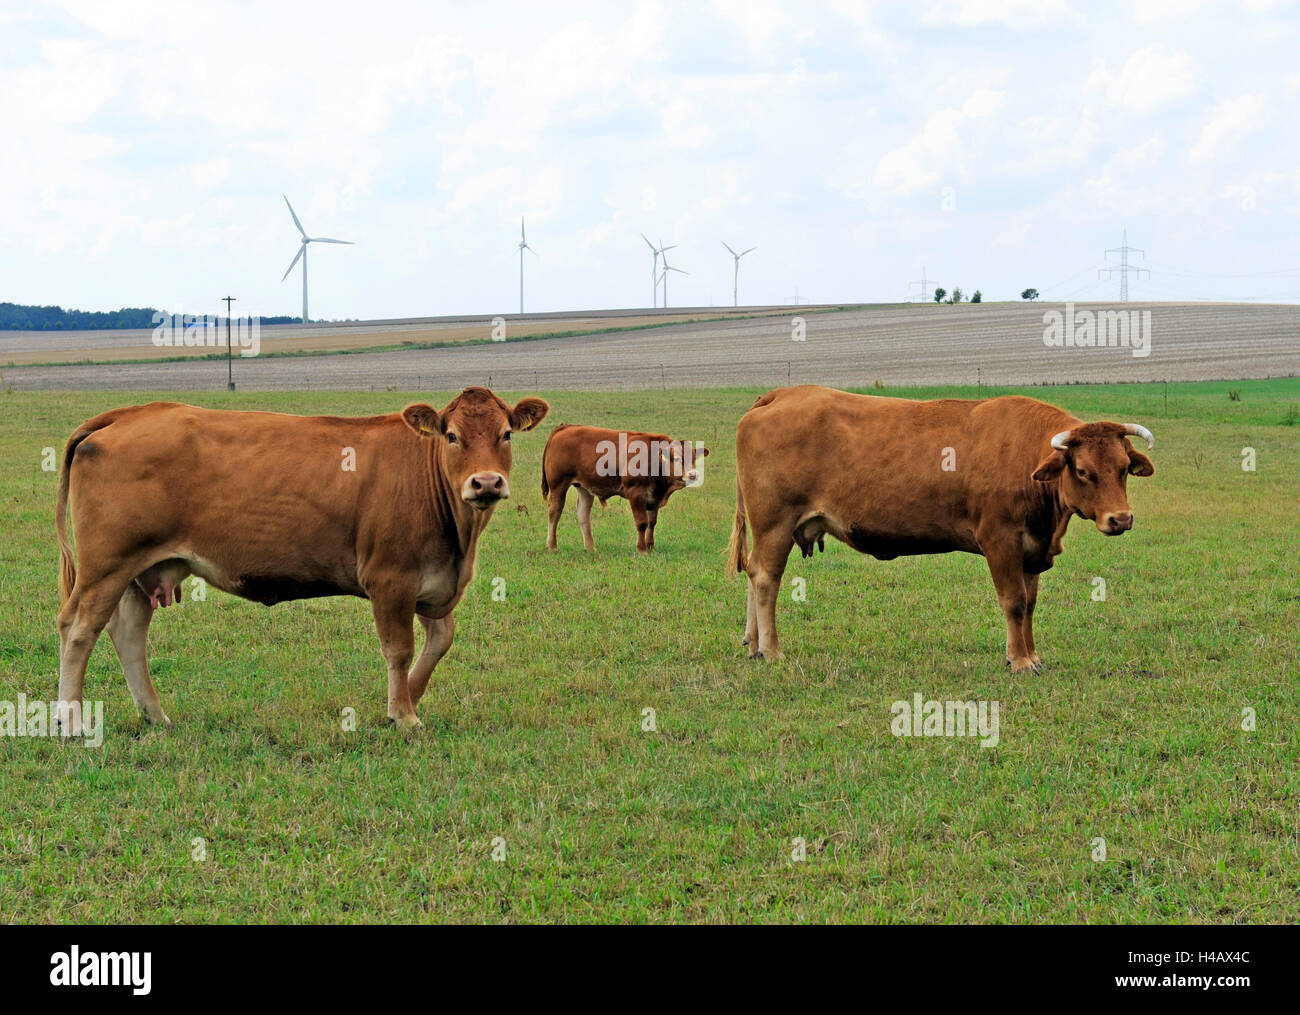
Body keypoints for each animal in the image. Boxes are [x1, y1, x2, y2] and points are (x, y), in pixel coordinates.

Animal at [55, 384, 548, 732]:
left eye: (505, 434)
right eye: (451, 436)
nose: (486, 483)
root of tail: (130, 413)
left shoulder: (432, 580)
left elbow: (440, 641)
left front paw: (404, 699)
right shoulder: (392, 578)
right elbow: (400, 648)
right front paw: (404, 715)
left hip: (139, 571)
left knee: (128, 633)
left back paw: (154, 715)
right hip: (106, 567)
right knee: (78, 629)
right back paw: (72, 719)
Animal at [543, 423, 717, 551]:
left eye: (694, 459)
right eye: (676, 458)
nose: (693, 475)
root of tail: (566, 427)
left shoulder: (654, 496)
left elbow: (652, 523)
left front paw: (651, 546)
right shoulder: (636, 494)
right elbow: (641, 523)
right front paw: (642, 549)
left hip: (584, 487)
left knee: (583, 514)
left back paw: (591, 547)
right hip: (558, 484)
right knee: (554, 511)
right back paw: (552, 546)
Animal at [722, 384, 1159, 670]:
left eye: (1124, 468)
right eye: (1083, 471)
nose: (1121, 519)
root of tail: (784, 393)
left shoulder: (1032, 549)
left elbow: (1030, 604)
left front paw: (1031, 654)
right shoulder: (1000, 540)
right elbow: (1014, 602)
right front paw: (1019, 661)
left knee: (753, 573)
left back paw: (753, 644)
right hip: (775, 523)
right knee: (766, 579)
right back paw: (772, 650)